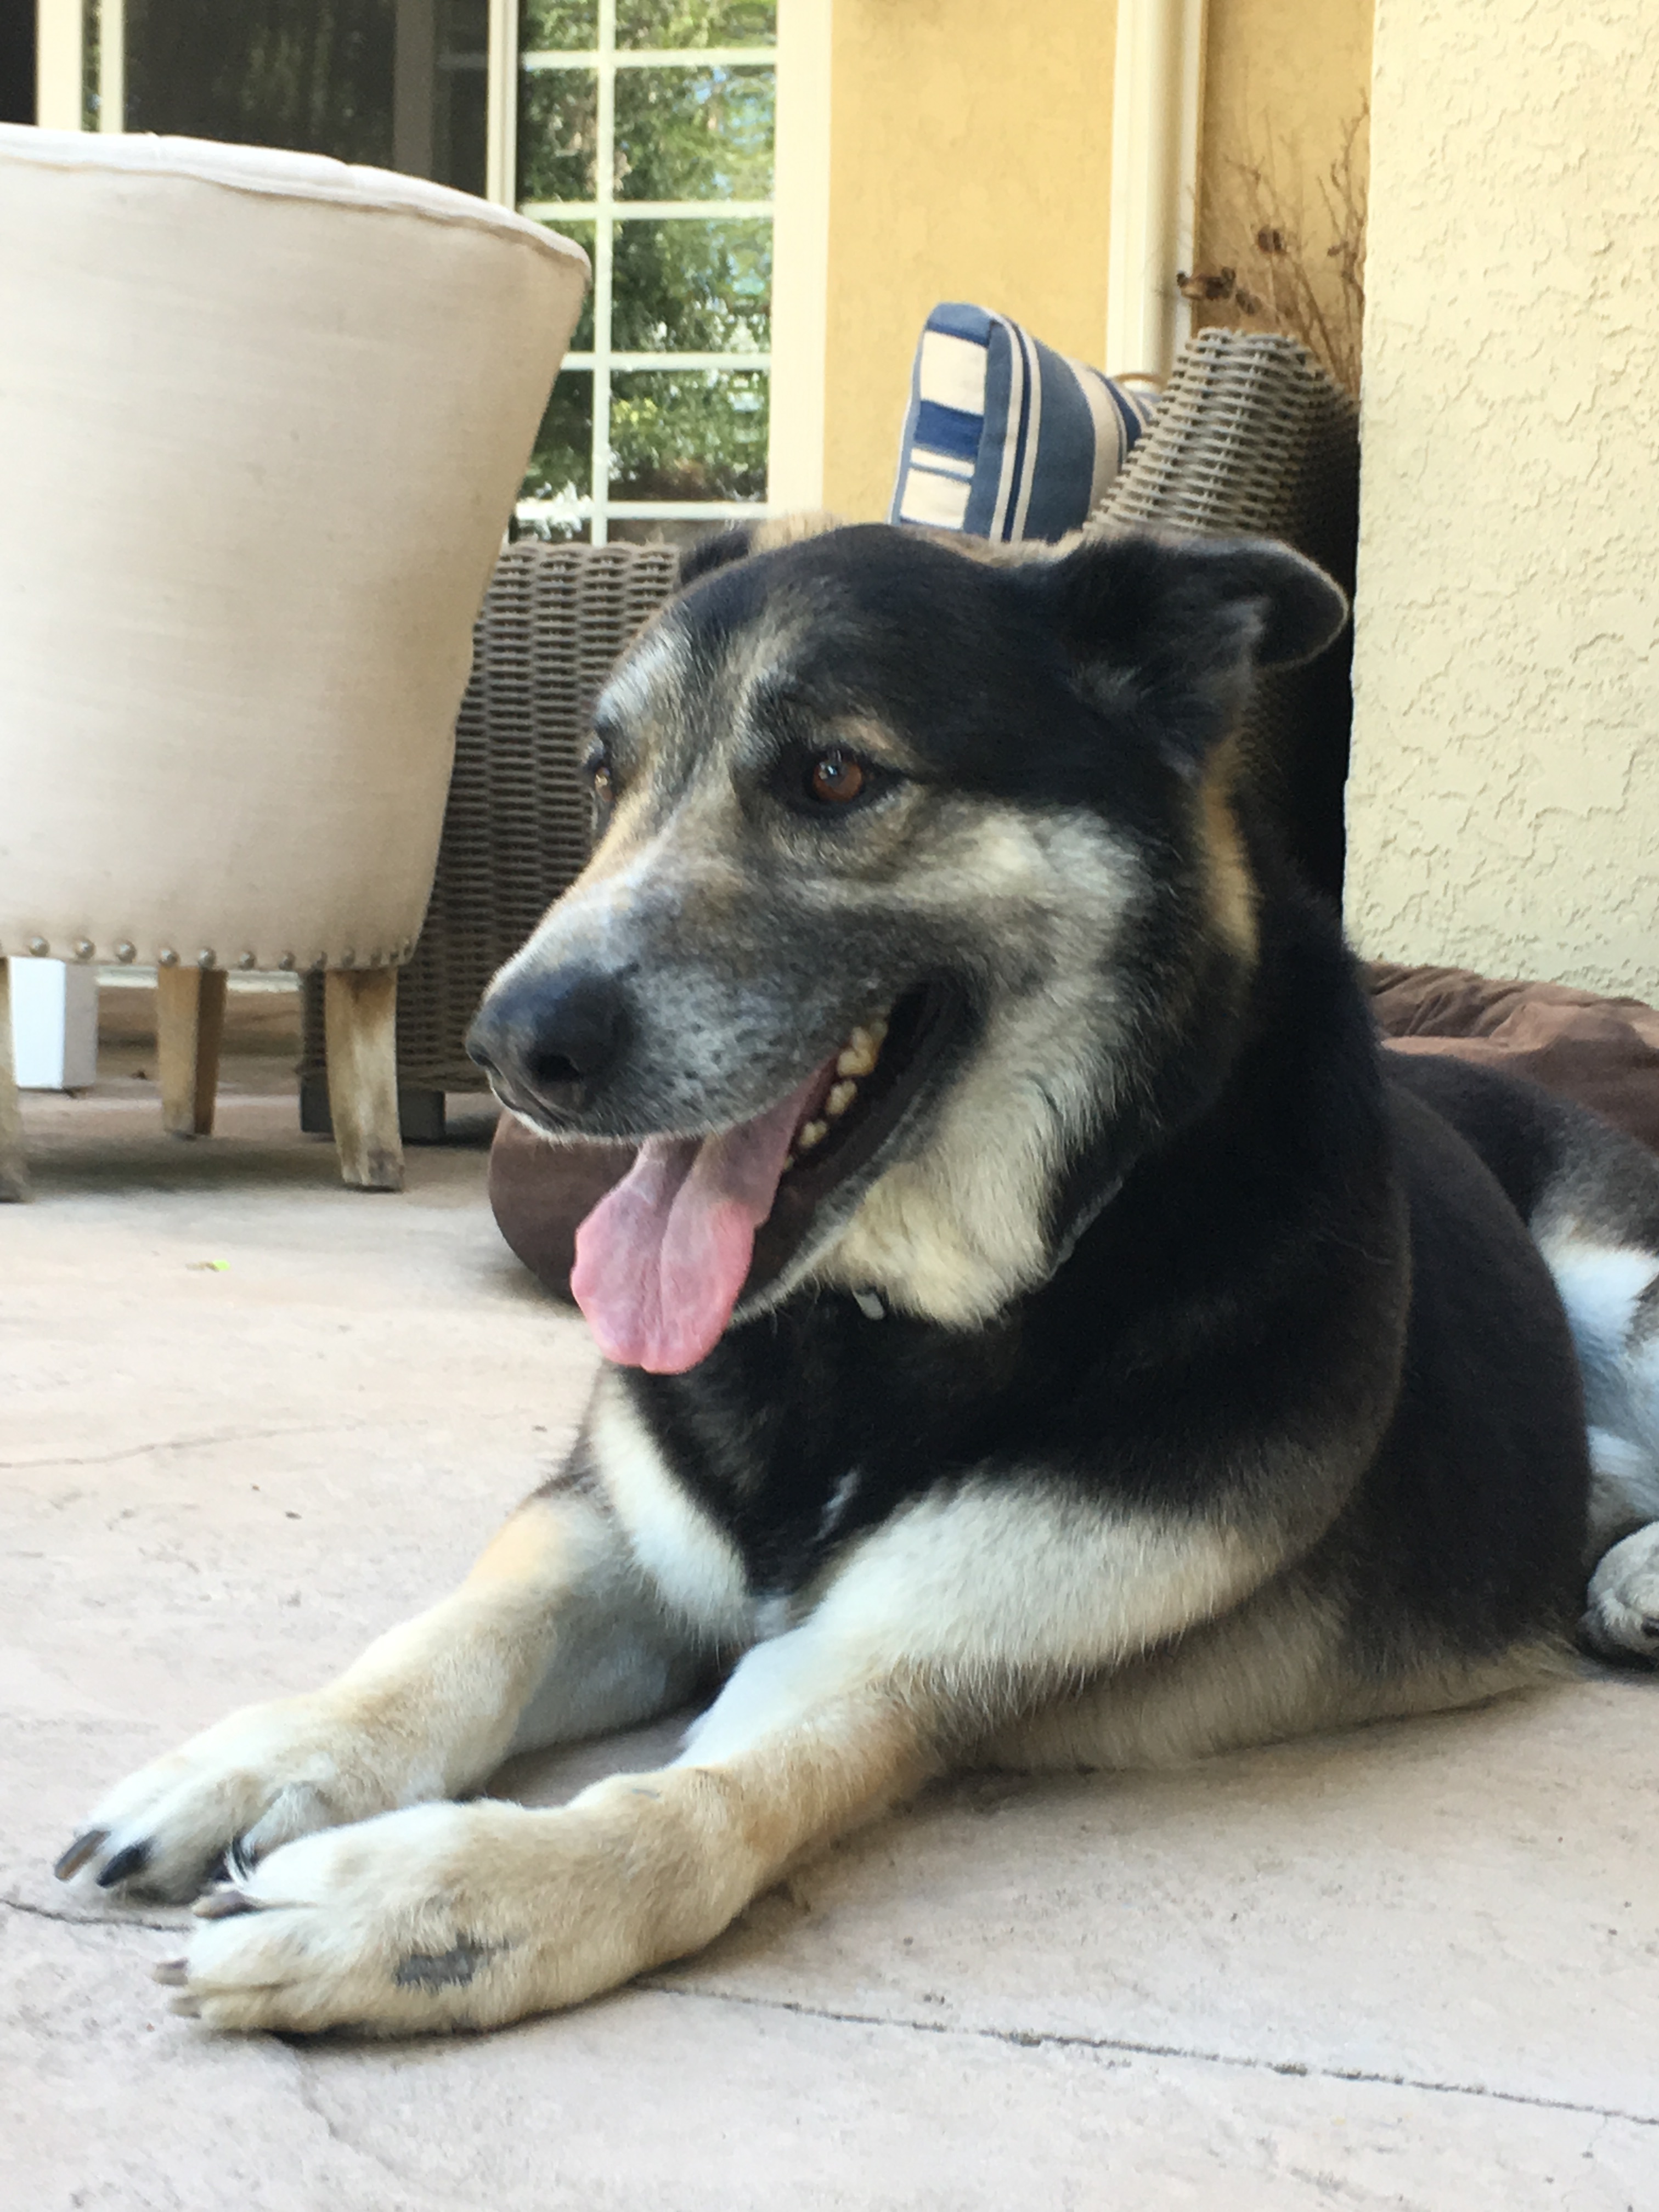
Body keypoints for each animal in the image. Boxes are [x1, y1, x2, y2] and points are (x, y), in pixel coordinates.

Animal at [55, 522, 1659, 2035]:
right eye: (601, 776)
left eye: (833, 775)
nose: (513, 1049)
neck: (884, 1319)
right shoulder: (615, 1542)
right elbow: (452, 1641)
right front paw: (275, 1751)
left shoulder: (903, 1663)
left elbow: (688, 1812)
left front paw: (431, 1905)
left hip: (1621, 1288)